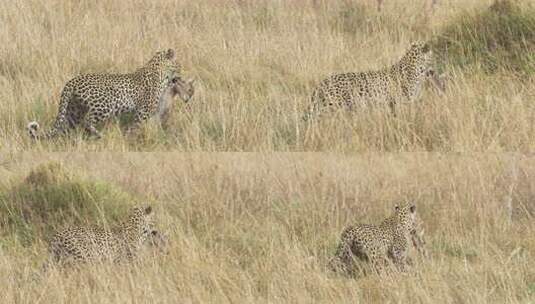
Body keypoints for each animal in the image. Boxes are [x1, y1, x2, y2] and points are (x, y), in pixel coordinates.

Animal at [29, 49, 184, 140]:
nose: (181, 74)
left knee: (66, 127)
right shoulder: (143, 111)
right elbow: (136, 126)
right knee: (87, 121)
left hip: (74, 111)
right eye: (179, 65)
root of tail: (71, 82)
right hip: (104, 106)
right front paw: (129, 139)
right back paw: (99, 135)